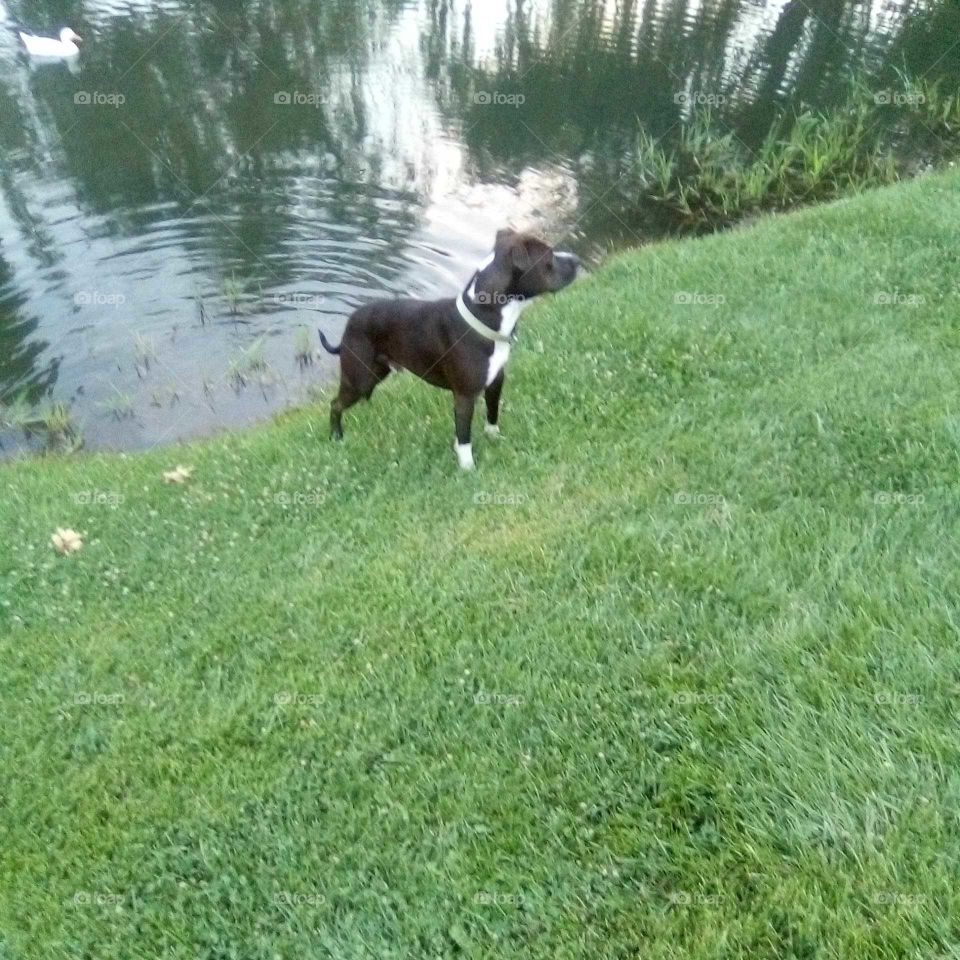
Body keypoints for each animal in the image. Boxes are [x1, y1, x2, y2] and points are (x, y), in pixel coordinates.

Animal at [319, 229, 581, 469]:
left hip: (375, 373)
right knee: (335, 404)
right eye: (549, 255)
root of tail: (349, 323)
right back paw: (336, 437)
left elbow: (492, 414)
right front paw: (468, 469)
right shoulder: (464, 396)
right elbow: (464, 436)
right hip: (360, 380)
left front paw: (494, 439)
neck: (484, 318)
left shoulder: (496, 380)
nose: (577, 259)